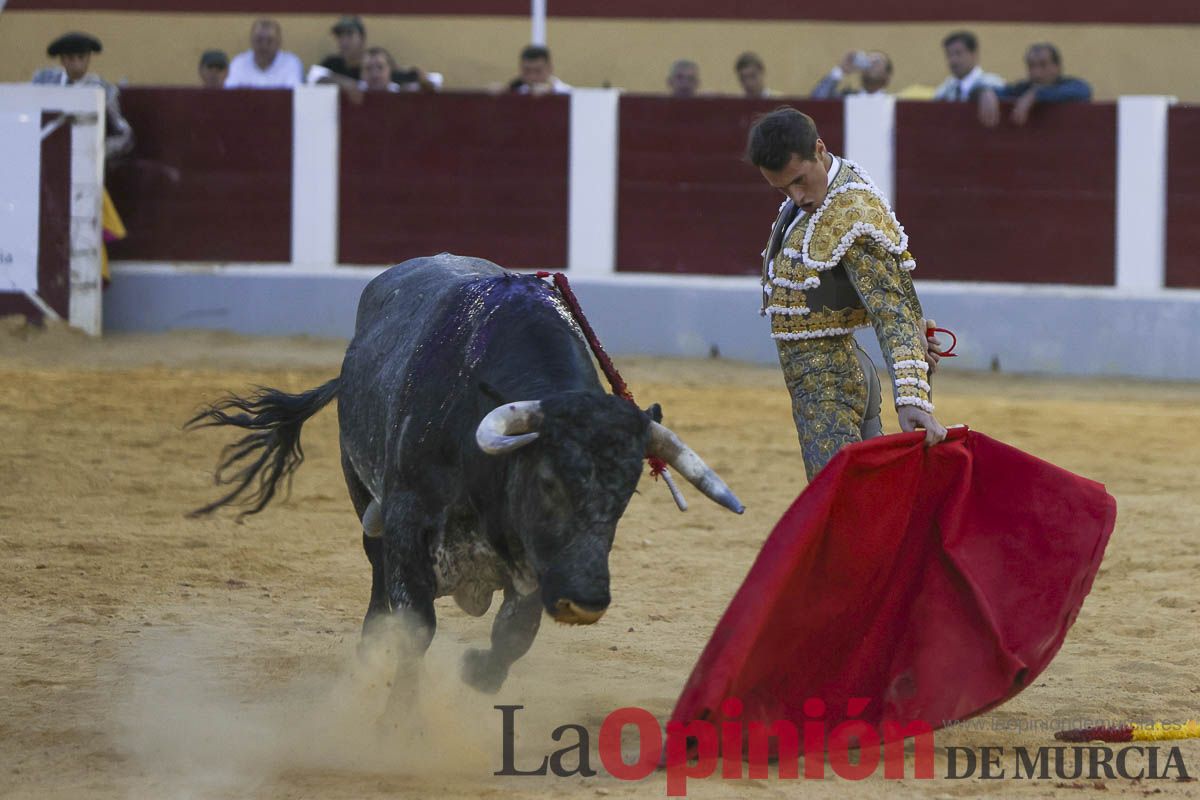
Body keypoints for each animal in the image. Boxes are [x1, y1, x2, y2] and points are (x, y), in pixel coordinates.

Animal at [189, 257, 739, 695]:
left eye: (626, 492)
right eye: (547, 481)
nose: (584, 602)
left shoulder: (530, 560)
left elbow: (514, 632)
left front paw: (477, 674)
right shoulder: (408, 523)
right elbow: (415, 628)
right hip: (360, 491)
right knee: (377, 579)